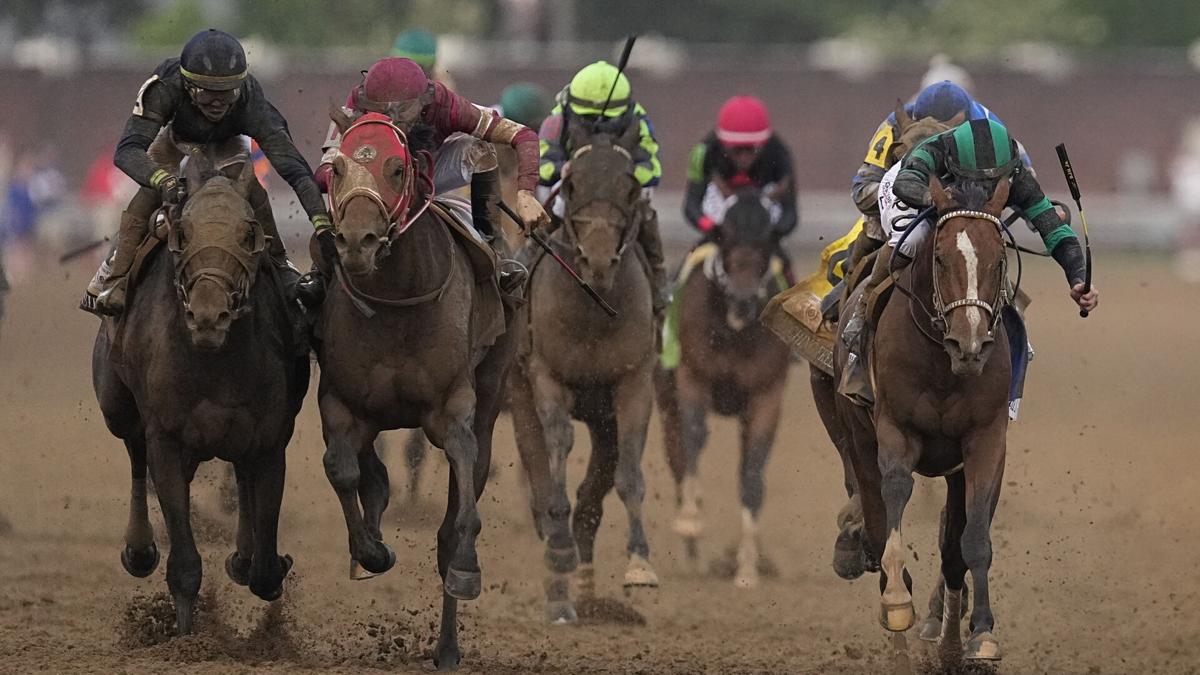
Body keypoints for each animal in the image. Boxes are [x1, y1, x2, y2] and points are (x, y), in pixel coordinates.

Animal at [92, 154, 309, 634]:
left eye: (249, 234)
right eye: (184, 232)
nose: (209, 316)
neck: (214, 359)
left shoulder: (270, 440)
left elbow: (266, 563)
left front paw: (265, 565)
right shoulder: (167, 439)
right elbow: (185, 563)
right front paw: (187, 636)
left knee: (240, 477)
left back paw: (241, 556)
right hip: (116, 406)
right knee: (135, 455)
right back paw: (139, 550)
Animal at [316, 110, 515, 670]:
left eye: (397, 168)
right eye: (336, 169)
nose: (356, 242)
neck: (396, 300)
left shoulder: (453, 406)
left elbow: (460, 497)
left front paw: (465, 565)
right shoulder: (340, 403)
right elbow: (341, 470)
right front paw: (371, 551)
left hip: (494, 381)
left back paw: (447, 647)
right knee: (368, 472)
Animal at [509, 119, 659, 623]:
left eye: (630, 187)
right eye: (571, 184)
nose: (596, 262)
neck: (594, 308)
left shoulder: (633, 384)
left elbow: (628, 477)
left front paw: (640, 564)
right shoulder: (546, 378)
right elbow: (557, 445)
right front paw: (558, 549)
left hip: (602, 420)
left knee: (592, 501)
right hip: (517, 394)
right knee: (539, 482)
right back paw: (559, 586)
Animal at [655, 189, 791, 587]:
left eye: (767, 242)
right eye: (725, 239)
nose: (744, 300)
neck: (734, 331)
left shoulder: (766, 393)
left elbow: (752, 474)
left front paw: (746, 567)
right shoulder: (692, 376)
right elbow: (695, 437)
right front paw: (690, 520)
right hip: (665, 399)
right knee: (678, 455)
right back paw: (692, 553)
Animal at [833, 176, 1013, 665]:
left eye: (999, 258)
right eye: (940, 257)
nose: (969, 344)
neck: (942, 364)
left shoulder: (986, 440)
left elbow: (971, 541)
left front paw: (980, 635)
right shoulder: (895, 430)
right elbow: (894, 492)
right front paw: (897, 604)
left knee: (952, 549)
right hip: (858, 437)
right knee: (875, 514)